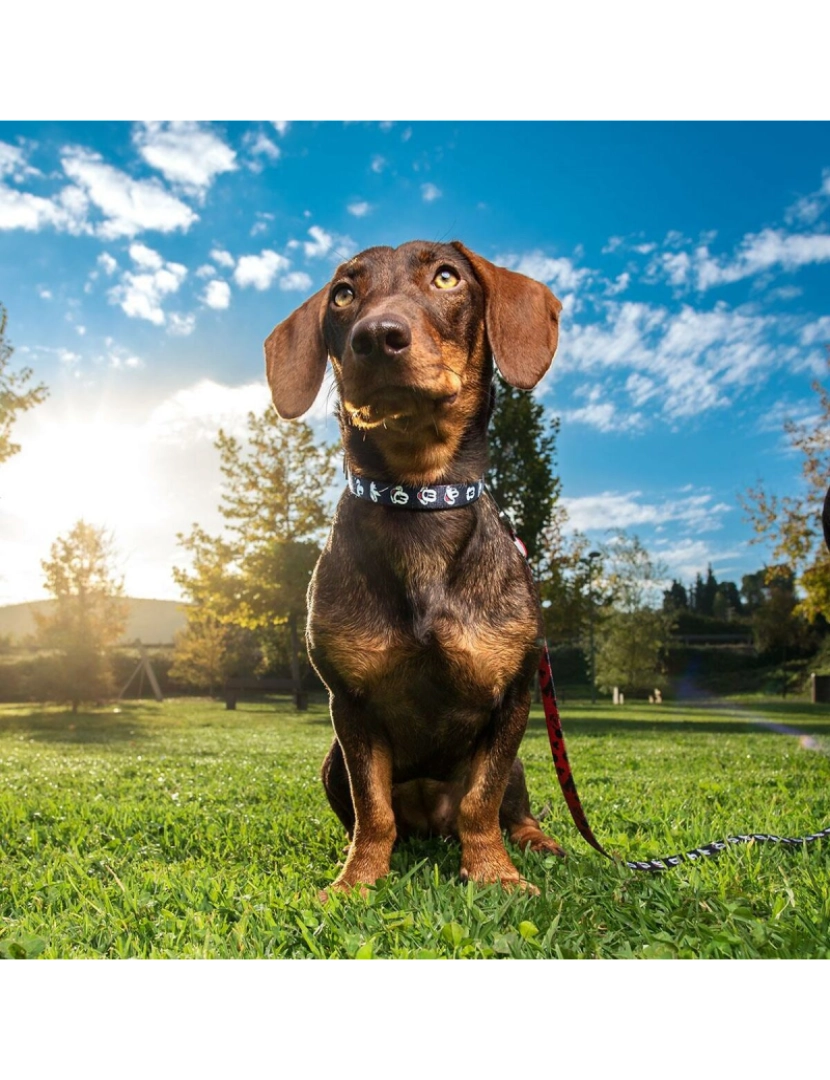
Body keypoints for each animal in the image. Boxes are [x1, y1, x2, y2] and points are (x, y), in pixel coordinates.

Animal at [263, 245, 561, 894]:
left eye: (446, 277)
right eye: (343, 294)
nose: (377, 336)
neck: (417, 497)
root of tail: (431, 825)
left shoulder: (514, 698)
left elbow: (481, 801)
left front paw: (494, 873)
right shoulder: (348, 706)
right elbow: (373, 809)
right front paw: (356, 881)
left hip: (523, 763)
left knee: (513, 809)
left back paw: (538, 842)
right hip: (330, 762)